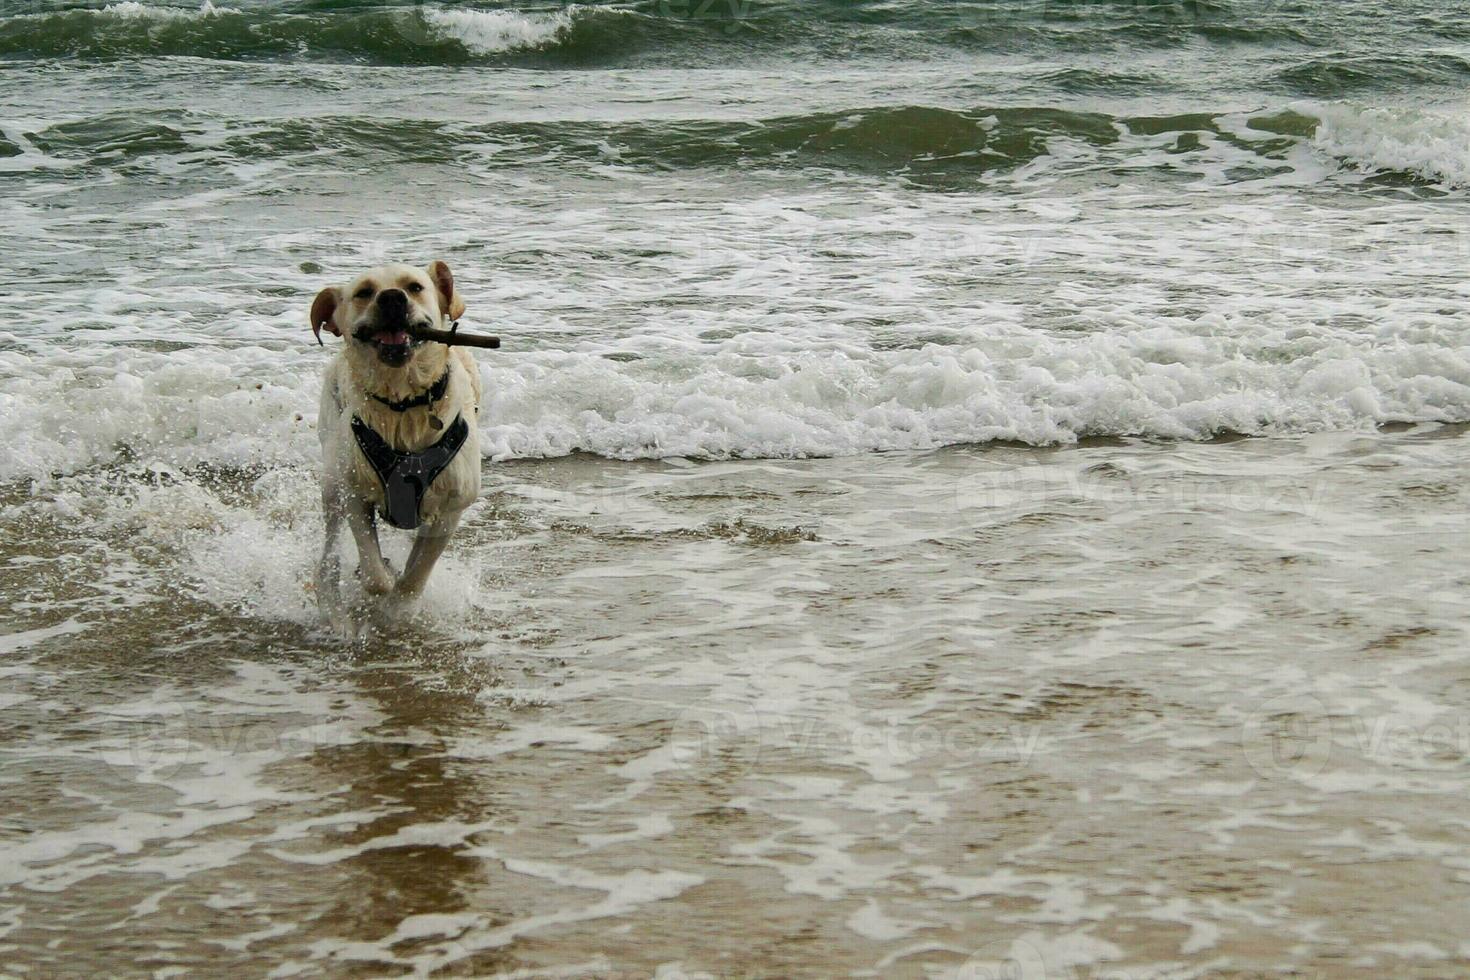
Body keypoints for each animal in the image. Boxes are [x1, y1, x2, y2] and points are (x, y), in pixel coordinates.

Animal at [308, 262, 482, 614]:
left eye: (414, 287)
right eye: (363, 292)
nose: (391, 298)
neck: (402, 405)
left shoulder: (450, 509)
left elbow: (417, 574)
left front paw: (400, 604)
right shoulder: (354, 494)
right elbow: (375, 578)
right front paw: (382, 581)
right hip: (332, 479)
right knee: (330, 548)